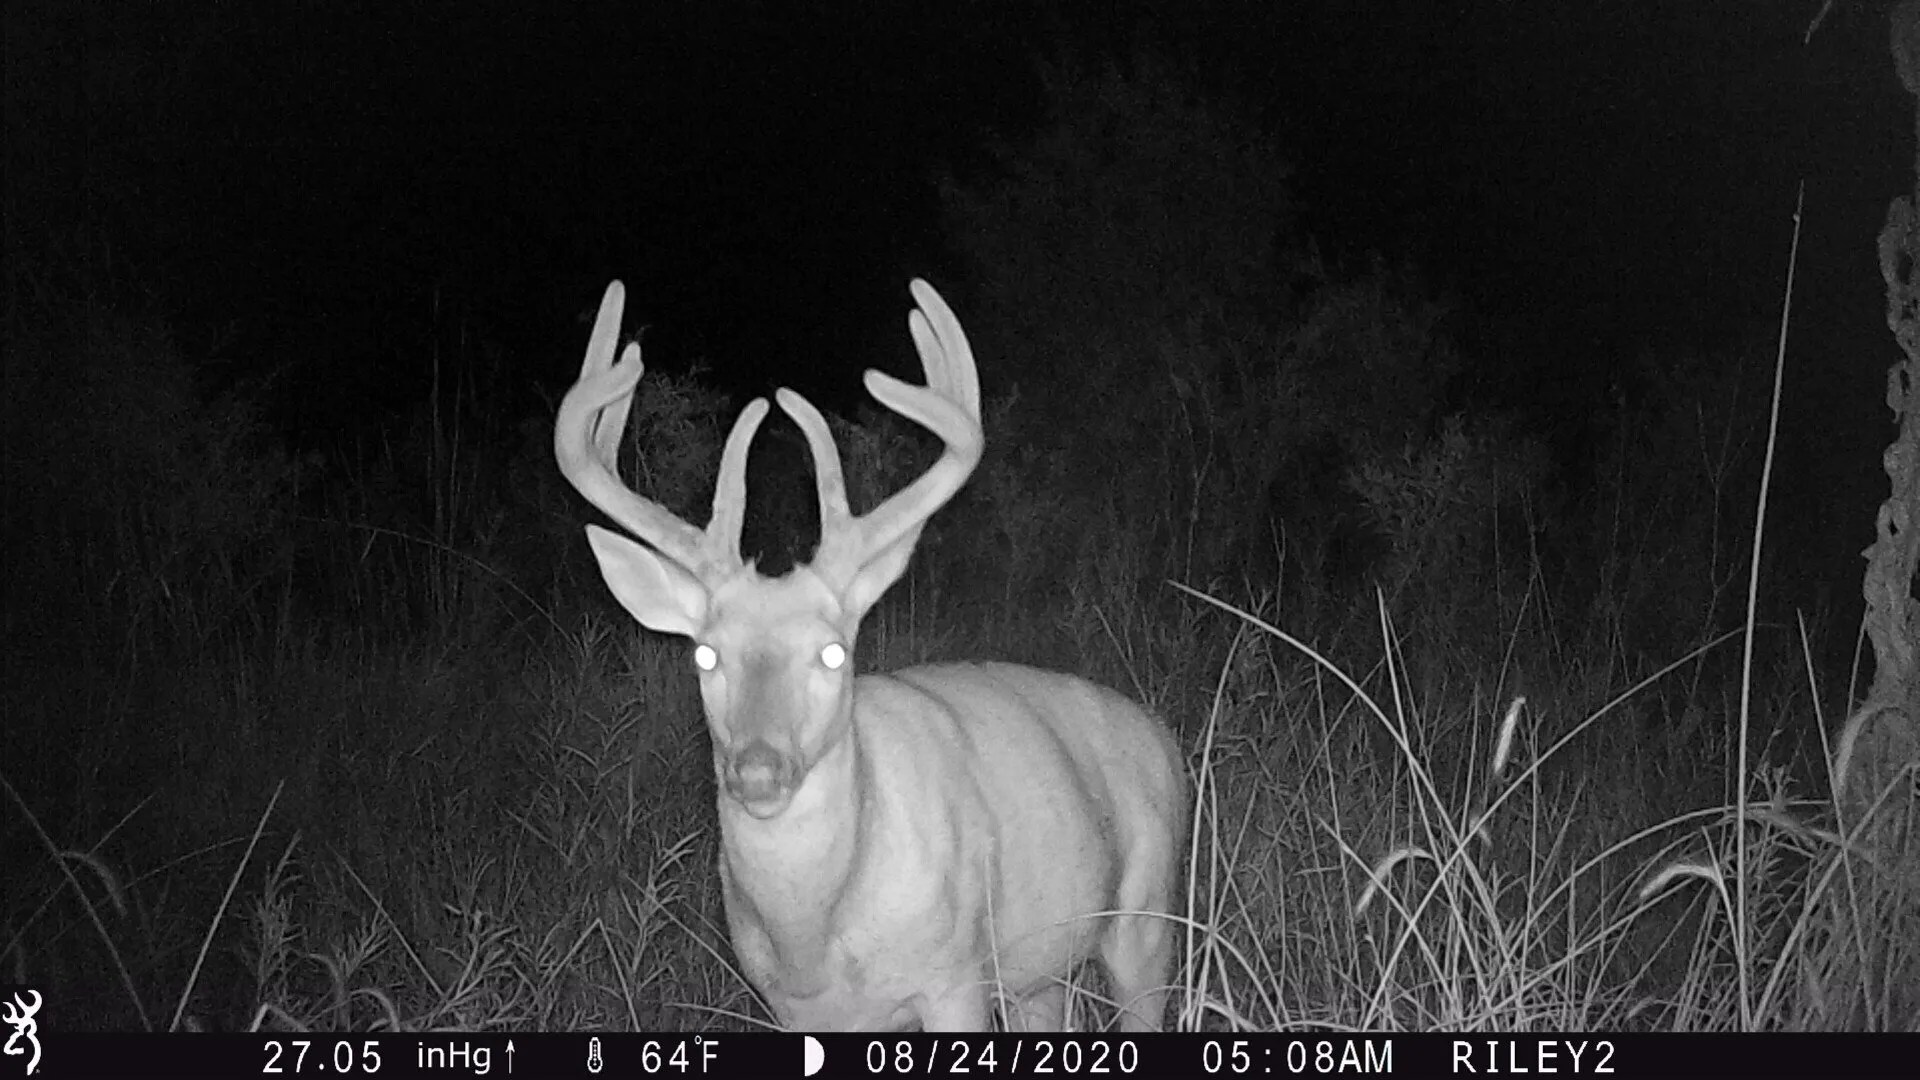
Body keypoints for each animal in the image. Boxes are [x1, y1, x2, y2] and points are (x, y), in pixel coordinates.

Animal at [553, 278, 1187, 1032]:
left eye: (833, 653)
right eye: (705, 657)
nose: (758, 770)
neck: (816, 943)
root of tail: (1162, 735)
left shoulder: (955, 977)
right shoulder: (789, 1008)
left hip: (1146, 920)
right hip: (1038, 967)